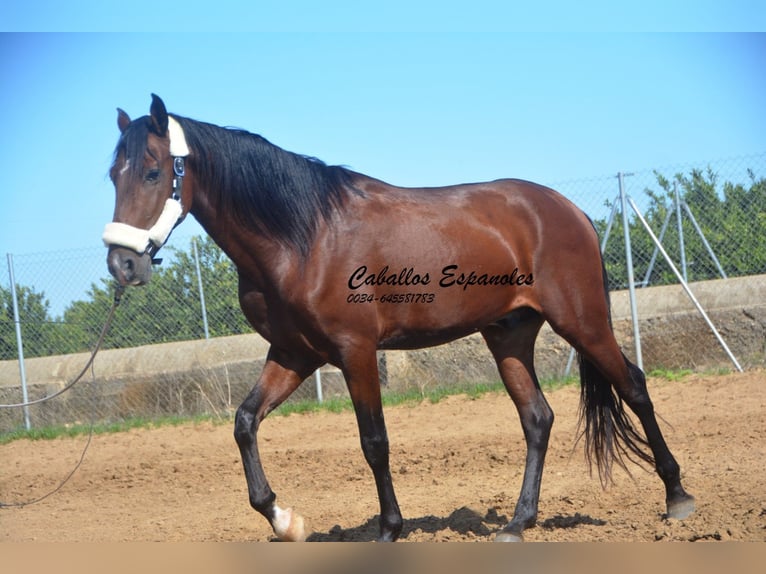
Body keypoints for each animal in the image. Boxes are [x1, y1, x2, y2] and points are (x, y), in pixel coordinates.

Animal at [105, 95, 700, 544]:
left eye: (154, 171)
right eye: (113, 174)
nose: (122, 264)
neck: (304, 238)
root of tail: (568, 210)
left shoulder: (355, 351)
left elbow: (374, 441)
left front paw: (390, 529)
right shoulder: (295, 353)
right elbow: (245, 422)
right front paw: (283, 519)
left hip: (583, 322)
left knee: (634, 387)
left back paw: (677, 497)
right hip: (508, 335)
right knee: (537, 418)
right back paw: (517, 523)